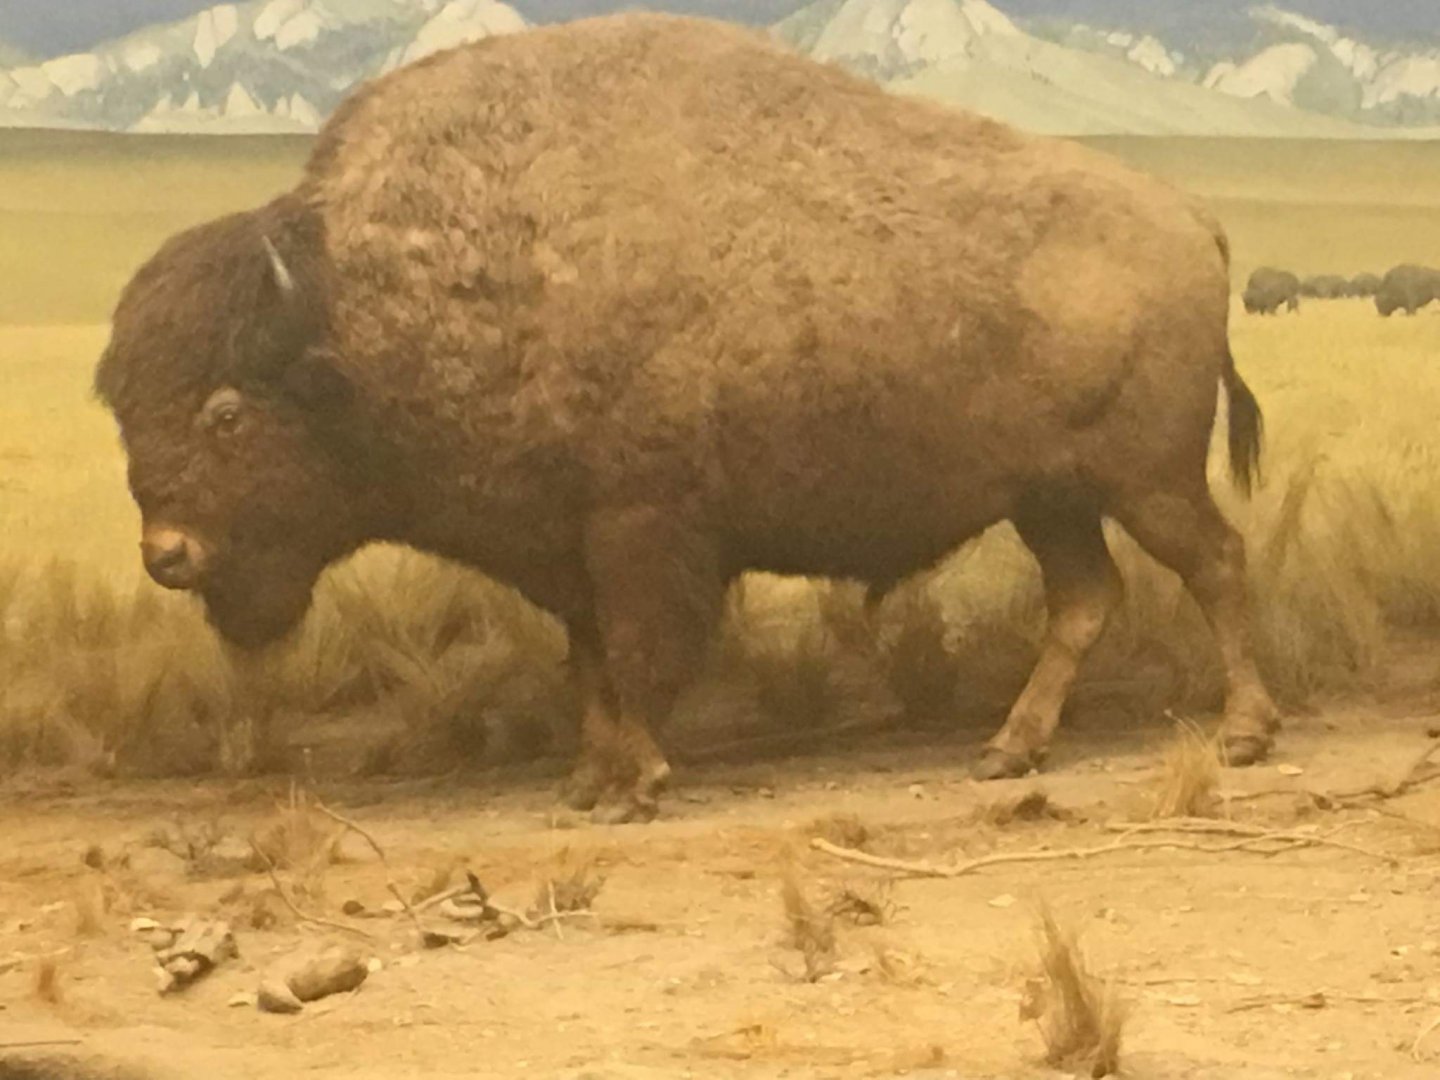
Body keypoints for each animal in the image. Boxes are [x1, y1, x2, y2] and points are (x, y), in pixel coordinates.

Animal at [95, 14, 1279, 822]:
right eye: (126, 408)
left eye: (226, 411)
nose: (167, 554)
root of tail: (1194, 217)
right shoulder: (563, 547)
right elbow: (590, 662)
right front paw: (588, 777)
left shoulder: (641, 530)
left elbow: (640, 653)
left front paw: (635, 784)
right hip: (1050, 497)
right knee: (1086, 598)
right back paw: (1008, 750)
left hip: (1146, 478)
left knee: (1215, 564)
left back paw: (1245, 734)